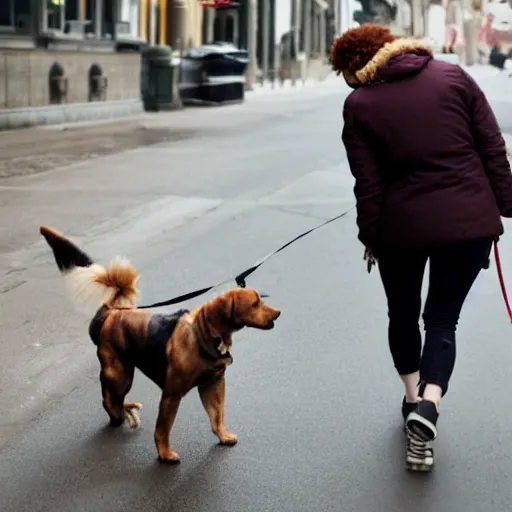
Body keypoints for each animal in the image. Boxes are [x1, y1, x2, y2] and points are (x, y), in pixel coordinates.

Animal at [39, 226, 280, 462]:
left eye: (260, 300)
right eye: (255, 304)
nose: (278, 313)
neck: (203, 334)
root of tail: (111, 311)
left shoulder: (213, 384)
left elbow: (217, 415)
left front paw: (223, 436)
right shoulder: (172, 393)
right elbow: (163, 428)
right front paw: (164, 454)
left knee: (114, 400)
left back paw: (127, 410)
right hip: (120, 374)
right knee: (109, 401)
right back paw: (120, 414)